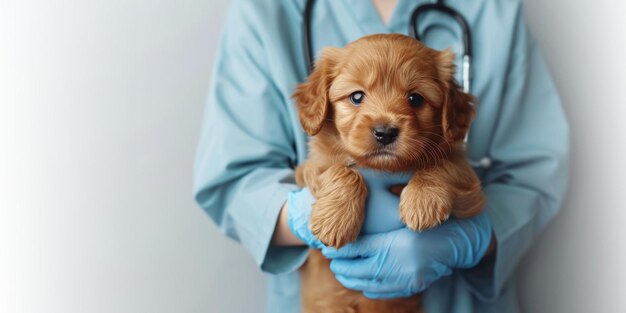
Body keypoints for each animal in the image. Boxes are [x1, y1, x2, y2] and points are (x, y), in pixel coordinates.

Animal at [292, 34, 482, 312]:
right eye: (356, 96)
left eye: (415, 99)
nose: (385, 132)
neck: (384, 169)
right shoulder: (312, 165)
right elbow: (342, 169)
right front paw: (334, 221)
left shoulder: (471, 187)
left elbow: (442, 164)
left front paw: (422, 201)